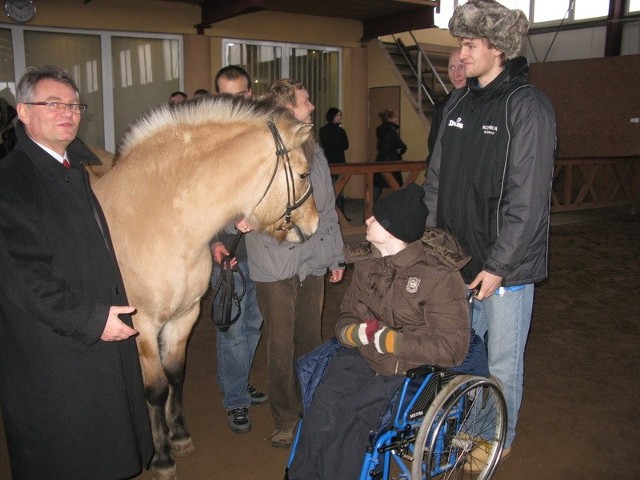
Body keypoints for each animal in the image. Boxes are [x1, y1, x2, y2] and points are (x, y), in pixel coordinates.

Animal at [92, 94, 318, 480]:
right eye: (303, 174)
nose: (316, 224)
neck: (160, 223)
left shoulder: (184, 316)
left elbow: (175, 376)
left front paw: (180, 437)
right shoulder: (142, 326)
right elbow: (156, 389)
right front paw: (162, 458)